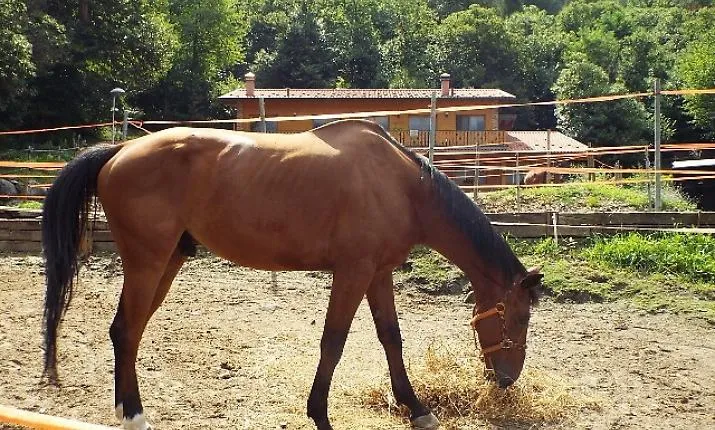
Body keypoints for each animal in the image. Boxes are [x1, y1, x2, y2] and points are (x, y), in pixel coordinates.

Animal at [42, 119, 543, 430]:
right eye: (520, 317)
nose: (507, 379)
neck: (402, 186)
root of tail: (120, 149)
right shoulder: (353, 273)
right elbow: (333, 341)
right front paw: (319, 414)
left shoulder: (378, 274)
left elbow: (391, 338)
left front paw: (416, 407)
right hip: (148, 261)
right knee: (127, 330)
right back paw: (135, 414)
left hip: (167, 261)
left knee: (127, 330)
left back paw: (124, 407)